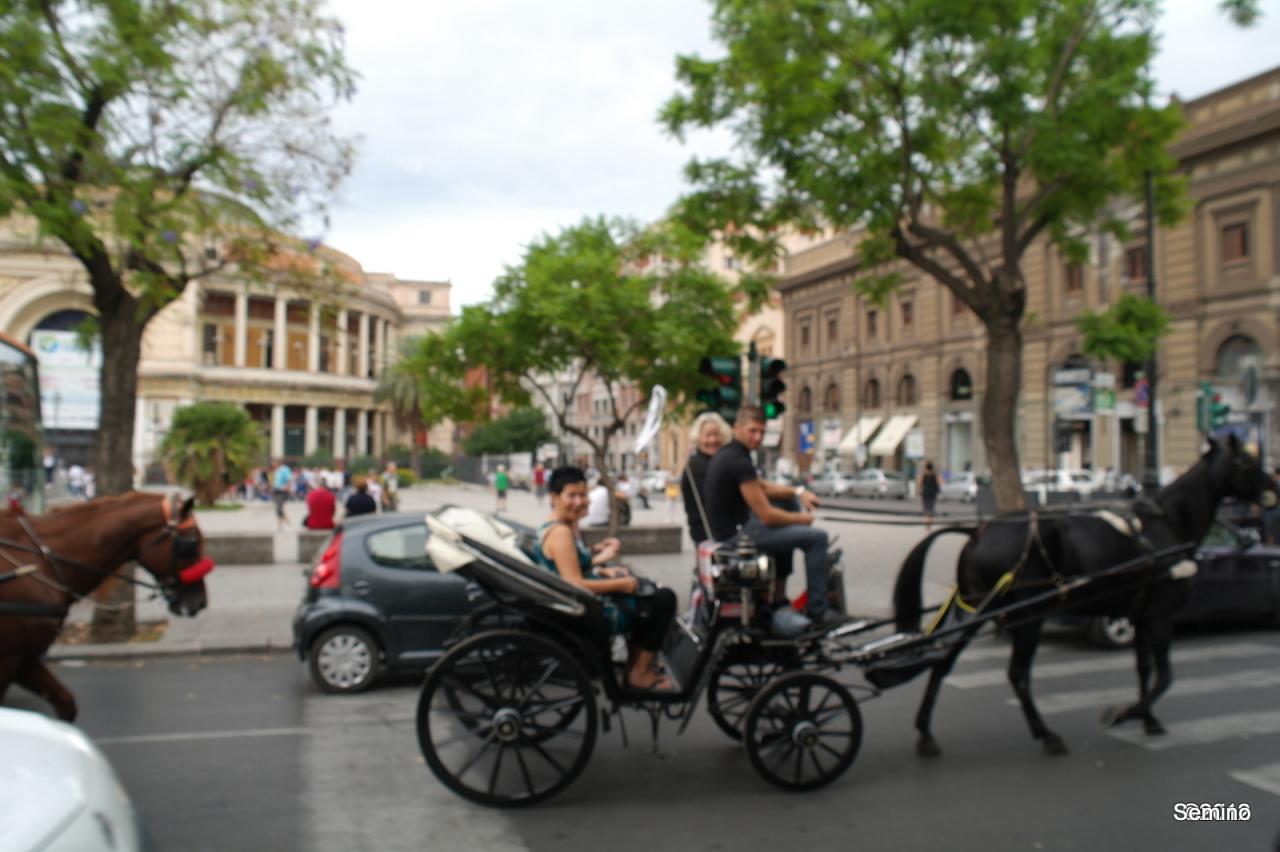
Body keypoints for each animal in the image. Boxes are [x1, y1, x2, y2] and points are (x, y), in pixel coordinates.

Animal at [0, 491, 212, 716]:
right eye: (192, 540)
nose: (201, 602)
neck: (42, 560)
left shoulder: (25, 659)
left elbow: (66, 703)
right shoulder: (10, 657)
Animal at [896, 437, 1274, 757]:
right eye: (1248, 461)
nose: (1275, 488)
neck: (1168, 522)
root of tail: (977, 531)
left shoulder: (1141, 615)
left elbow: (1144, 670)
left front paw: (1148, 719)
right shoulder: (1160, 616)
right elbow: (1165, 676)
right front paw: (1124, 713)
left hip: (976, 609)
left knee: (943, 661)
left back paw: (926, 733)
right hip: (1026, 616)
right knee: (1017, 674)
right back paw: (1045, 734)